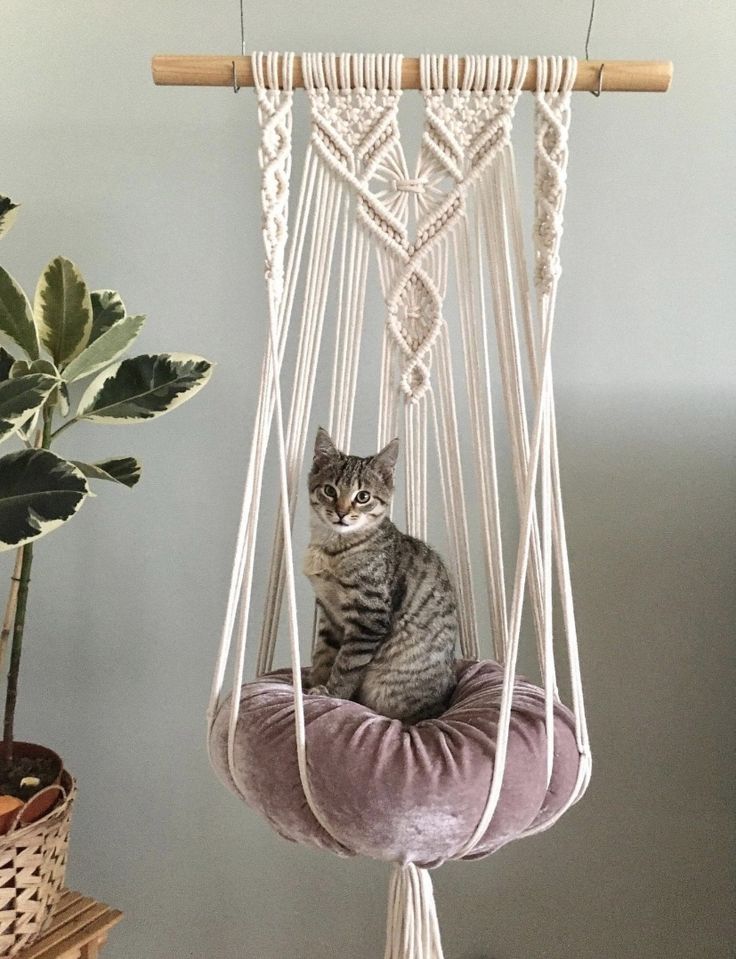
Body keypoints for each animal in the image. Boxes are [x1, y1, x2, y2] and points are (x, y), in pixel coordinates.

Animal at [302, 432, 458, 724]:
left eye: (363, 496)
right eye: (330, 491)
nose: (341, 513)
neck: (333, 549)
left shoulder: (368, 618)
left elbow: (346, 665)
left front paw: (332, 694)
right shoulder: (329, 614)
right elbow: (323, 655)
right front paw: (312, 685)